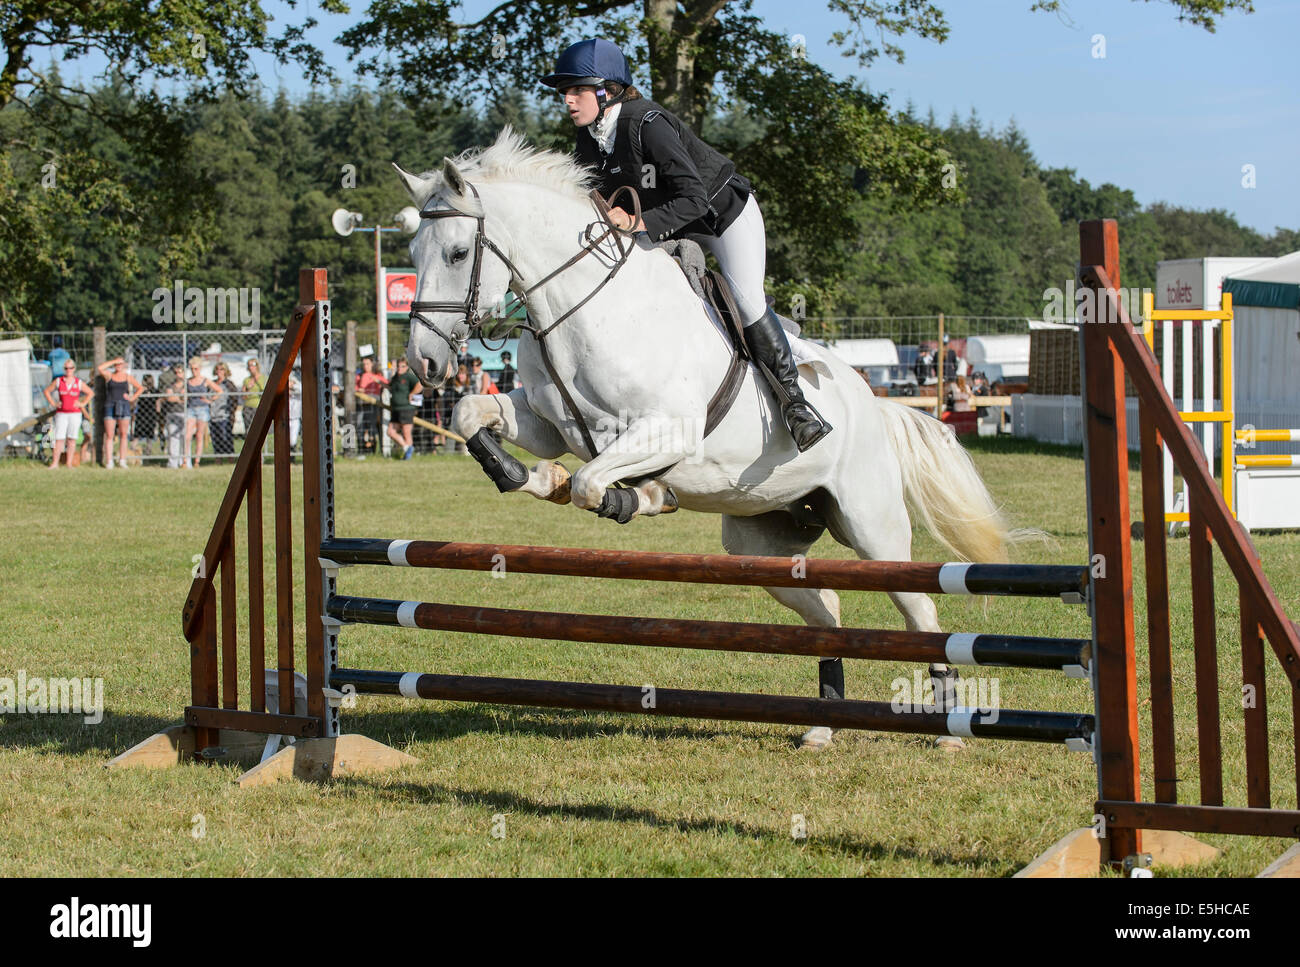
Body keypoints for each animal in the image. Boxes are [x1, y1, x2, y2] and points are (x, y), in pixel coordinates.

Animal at [395, 126, 1003, 748]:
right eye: (413, 255)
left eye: (457, 253)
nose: (423, 362)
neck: (584, 307)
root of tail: (874, 403)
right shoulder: (546, 423)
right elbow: (472, 415)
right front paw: (529, 475)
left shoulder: (667, 429)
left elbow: (591, 482)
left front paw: (633, 497)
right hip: (763, 544)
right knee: (827, 611)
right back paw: (821, 728)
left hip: (872, 530)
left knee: (921, 613)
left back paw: (949, 730)